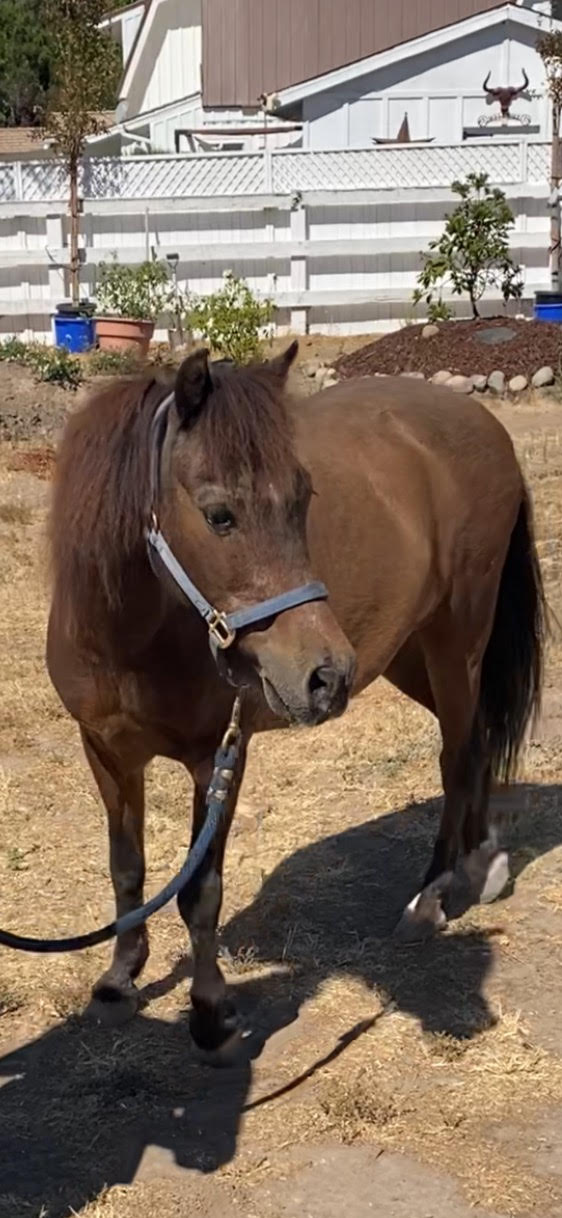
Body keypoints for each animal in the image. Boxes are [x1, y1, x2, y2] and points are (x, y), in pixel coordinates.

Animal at [47, 341, 545, 1057]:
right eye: (219, 514)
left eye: (304, 499)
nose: (325, 675)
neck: (137, 637)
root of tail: (483, 422)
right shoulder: (106, 753)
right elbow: (127, 869)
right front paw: (118, 982)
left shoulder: (218, 758)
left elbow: (200, 890)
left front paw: (210, 1015)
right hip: (409, 653)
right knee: (475, 742)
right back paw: (478, 866)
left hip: (458, 639)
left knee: (457, 756)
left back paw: (430, 897)